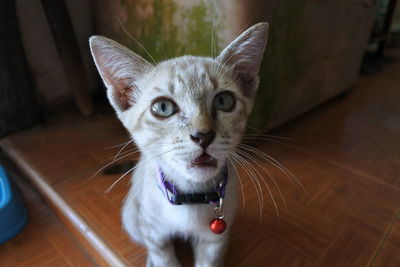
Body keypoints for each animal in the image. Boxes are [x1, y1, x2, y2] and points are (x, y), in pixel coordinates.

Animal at [89, 22, 268, 266]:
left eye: (224, 101)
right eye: (163, 107)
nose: (203, 135)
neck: (191, 197)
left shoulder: (215, 240)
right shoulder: (154, 234)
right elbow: (163, 258)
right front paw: (157, 261)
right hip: (132, 218)